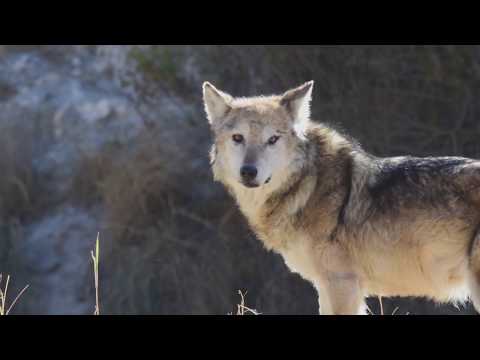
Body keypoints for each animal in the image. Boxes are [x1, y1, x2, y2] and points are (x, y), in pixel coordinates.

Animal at [202, 81, 480, 316]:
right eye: (238, 138)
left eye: (272, 139)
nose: (248, 172)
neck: (309, 185)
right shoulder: (325, 286)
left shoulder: (341, 283)